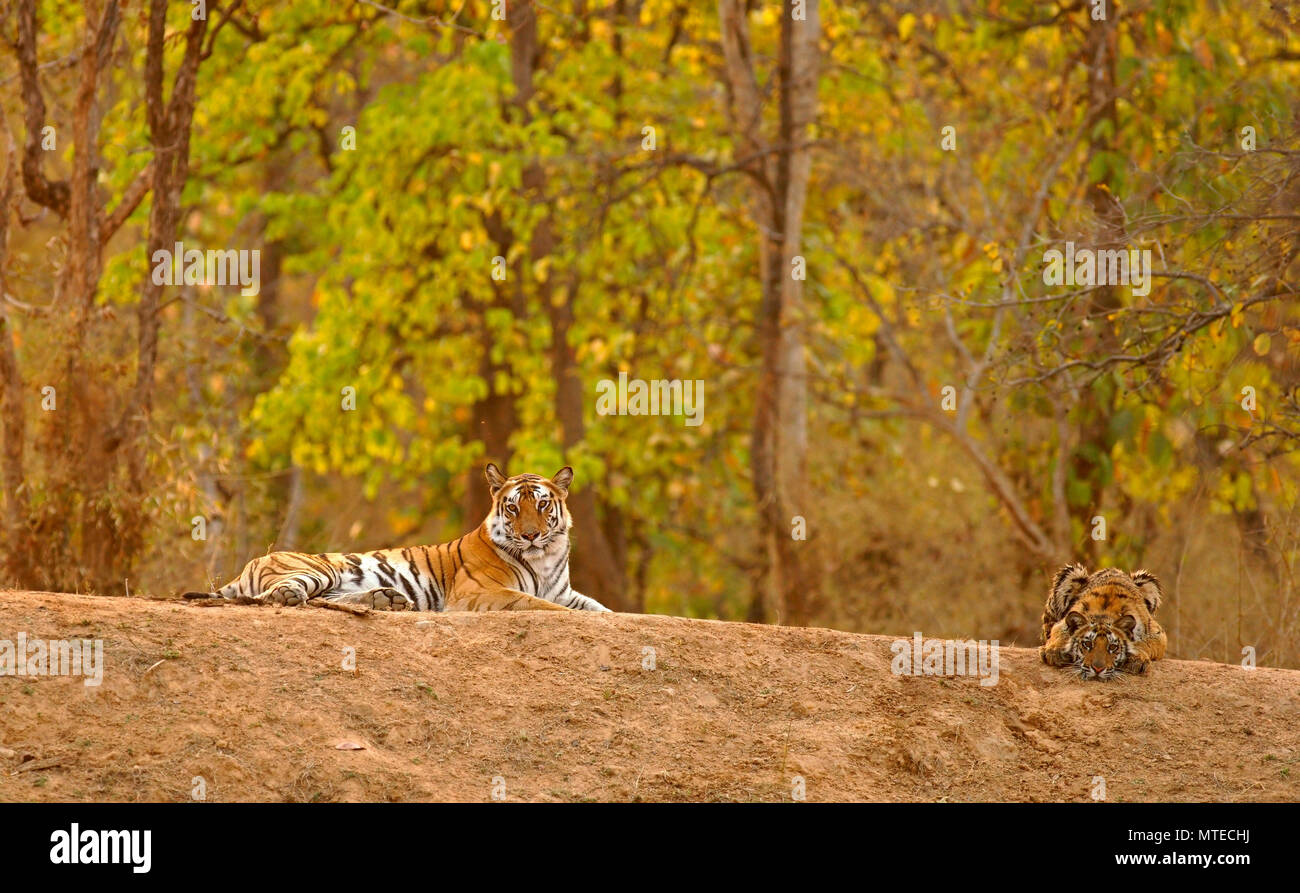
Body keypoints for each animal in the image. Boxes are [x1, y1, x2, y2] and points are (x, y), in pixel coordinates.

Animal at [180, 465, 616, 610]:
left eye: (542, 505)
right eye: (512, 508)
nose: (530, 535)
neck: (545, 558)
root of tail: (249, 564)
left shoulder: (565, 592)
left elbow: (601, 610)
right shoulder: (481, 593)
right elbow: (538, 605)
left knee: (325, 601)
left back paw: (385, 600)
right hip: (315, 570)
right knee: (282, 596)